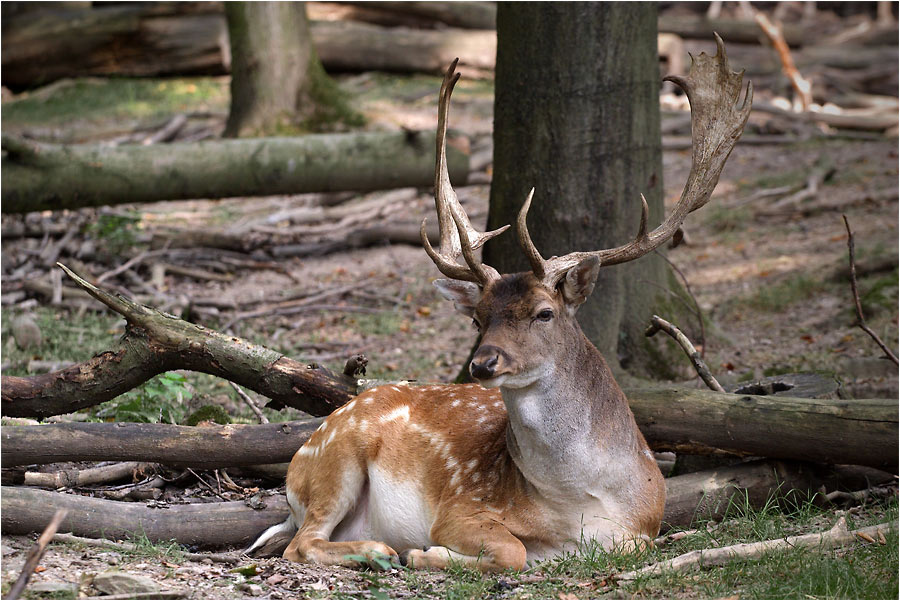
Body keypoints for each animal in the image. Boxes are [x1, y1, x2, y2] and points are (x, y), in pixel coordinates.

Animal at [247, 35, 752, 572]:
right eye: (478, 319)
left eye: (544, 313)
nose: (483, 363)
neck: (580, 502)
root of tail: (301, 459)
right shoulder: (462, 506)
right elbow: (511, 549)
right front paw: (427, 552)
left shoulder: (646, 526)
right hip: (335, 461)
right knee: (300, 543)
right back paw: (382, 549)